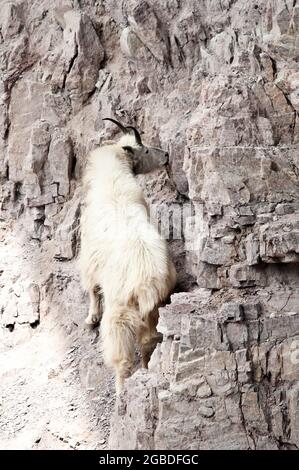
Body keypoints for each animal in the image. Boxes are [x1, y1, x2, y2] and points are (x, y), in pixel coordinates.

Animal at [80, 117, 178, 392]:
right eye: (144, 150)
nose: (166, 155)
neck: (113, 180)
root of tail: (148, 284)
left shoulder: (88, 254)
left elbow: (92, 287)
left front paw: (91, 317)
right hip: (154, 308)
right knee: (148, 341)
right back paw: (144, 373)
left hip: (120, 313)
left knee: (121, 355)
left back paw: (121, 391)